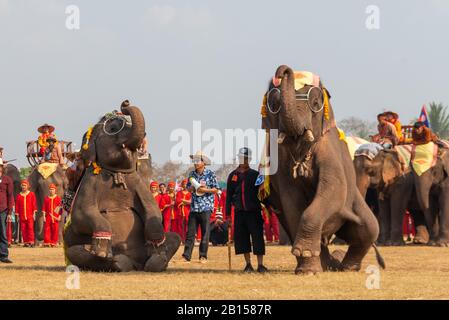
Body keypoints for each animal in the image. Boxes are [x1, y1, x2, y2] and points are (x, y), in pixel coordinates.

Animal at [62, 101, 180, 272]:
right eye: (112, 129)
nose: (125, 103)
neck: (117, 173)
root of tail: (136, 265)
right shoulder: (89, 184)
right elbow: (81, 214)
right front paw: (102, 251)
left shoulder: (137, 183)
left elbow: (153, 211)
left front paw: (157, 251)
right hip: (74, 250)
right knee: (75, 251)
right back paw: (118, 262)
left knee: (176, 237)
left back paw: (156, 261)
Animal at [260, 65, 384, 276]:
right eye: (274, 104)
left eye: (316, 103)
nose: (282, 71)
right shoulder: (281, 164)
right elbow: (292, 202)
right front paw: (307, 268)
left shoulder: (330, 152)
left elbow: (333, 189)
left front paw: (307, 264)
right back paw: (327, 265)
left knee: (369, 229)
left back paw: (346, 267)